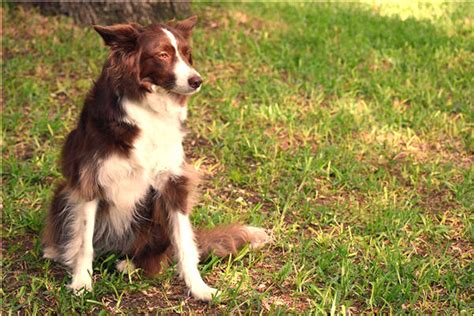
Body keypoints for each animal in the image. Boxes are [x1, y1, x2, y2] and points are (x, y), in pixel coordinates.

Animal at [42, 15, 272, 302]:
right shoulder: (89, 178)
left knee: (160, 253)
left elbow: (185, 244)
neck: (148, 106)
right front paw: (81, 283)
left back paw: (130, 264)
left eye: (186, 54)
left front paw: (199, 287)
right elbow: (84, 242)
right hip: (64, 190)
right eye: (162, 55)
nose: (197, 80)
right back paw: (58, 251)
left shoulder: (174, 182)